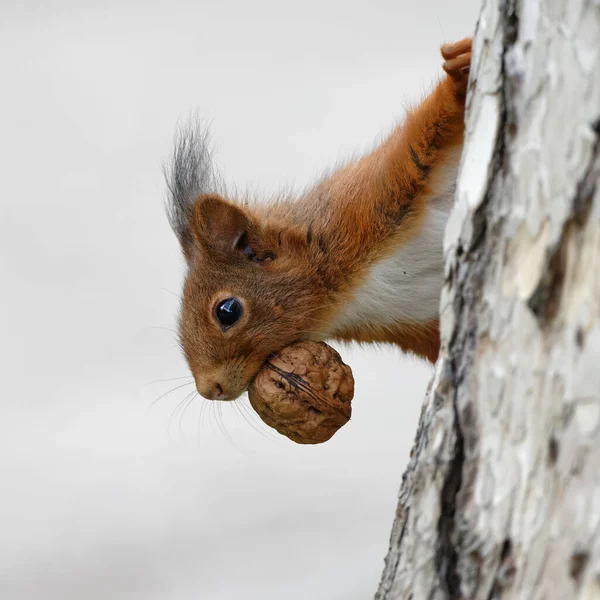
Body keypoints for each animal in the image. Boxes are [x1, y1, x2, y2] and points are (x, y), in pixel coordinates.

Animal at [165, 39, 474, 400]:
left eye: (227, 311)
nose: (210, 389)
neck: (348, 298)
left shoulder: (370, 198)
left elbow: (425, 136)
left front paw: (457, 77)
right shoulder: (411, 324)